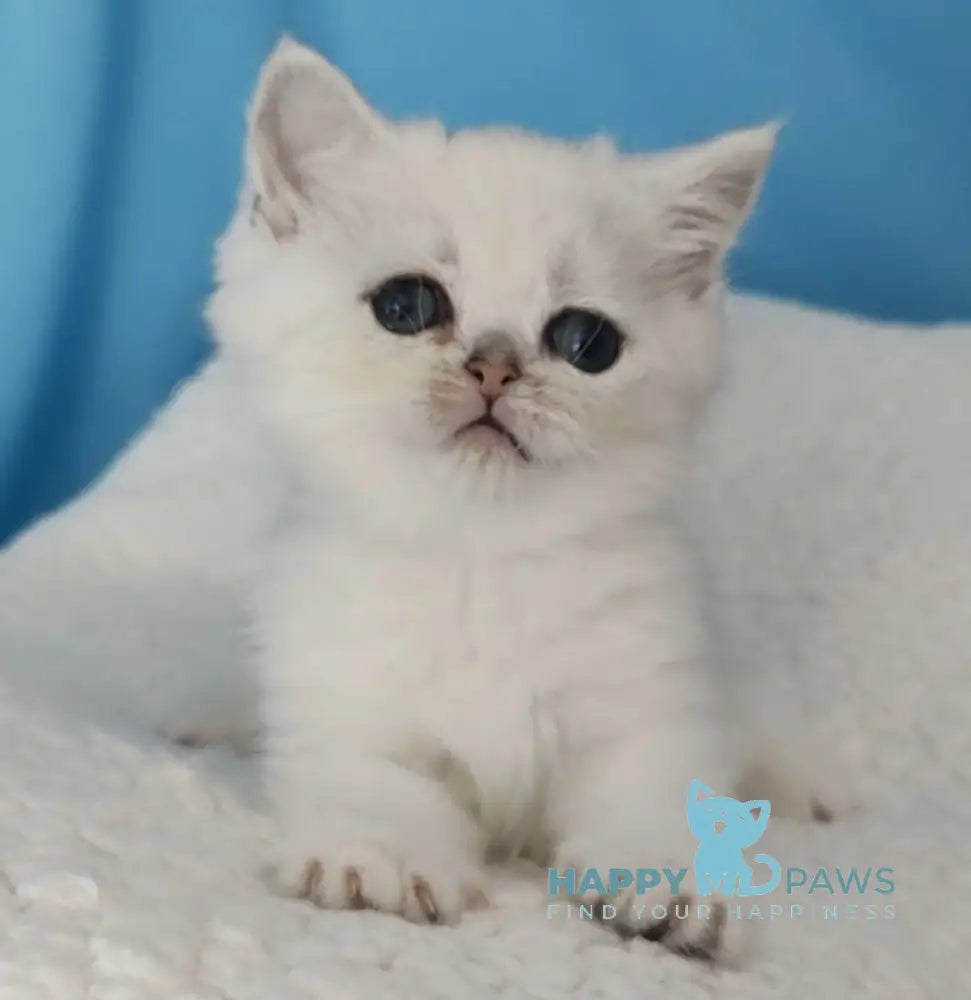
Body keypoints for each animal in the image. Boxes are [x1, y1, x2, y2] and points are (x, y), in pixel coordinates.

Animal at [209, 39, 780, 960]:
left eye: (585, 341)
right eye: (407, 305)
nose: (496, 364)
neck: (479, 557)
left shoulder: (651, 705)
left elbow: (659, 792)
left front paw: (668, 881)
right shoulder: (341, 710)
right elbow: (378, 785)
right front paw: (380, 858)